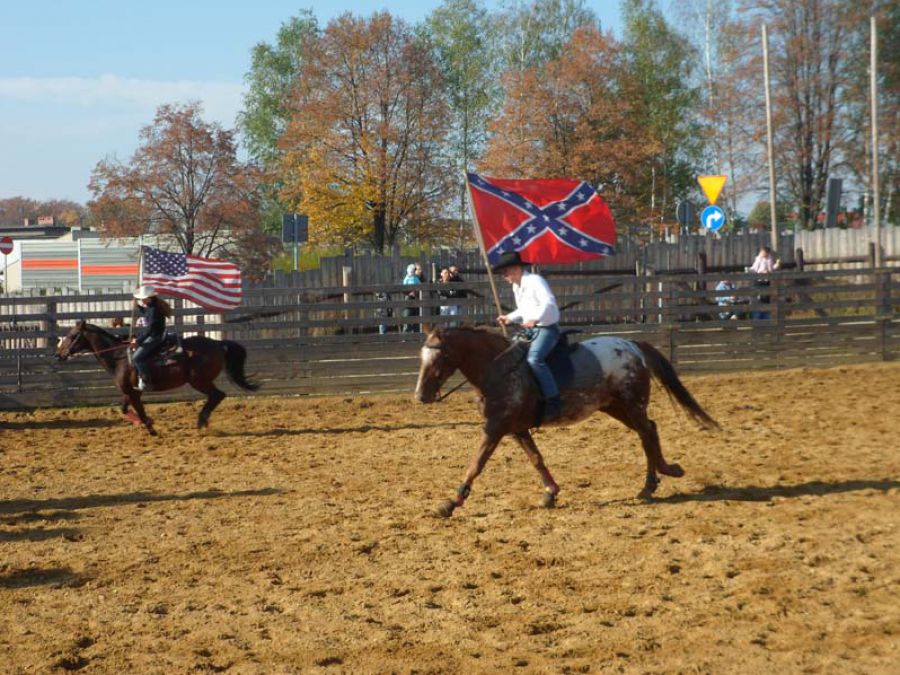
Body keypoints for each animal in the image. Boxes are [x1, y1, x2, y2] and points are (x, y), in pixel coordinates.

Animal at [56, 320, 259, 435]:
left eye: (72, 336)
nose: (59, 355)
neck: (118, 357)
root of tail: (217, 343)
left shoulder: (135, 394)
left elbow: (140, 411)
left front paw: (151, 427)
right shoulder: (129, 392)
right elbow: (124, 409)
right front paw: (143, 423)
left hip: (199, 381)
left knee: (218, 395)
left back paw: (201, 421)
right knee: (216, 396)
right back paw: (203, 420)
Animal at [415, 326, 719, 517]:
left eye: (440, 356)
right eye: (422, 356)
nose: (421, 395)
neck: (498, 370)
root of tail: (633, 345)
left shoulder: (495, 428)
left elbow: (476, 464)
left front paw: (452, 503)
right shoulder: (516, 429)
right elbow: (536, 459)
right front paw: (550, 492)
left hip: (632, 405)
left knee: (647, 434)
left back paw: (654, 481)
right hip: (616, 407)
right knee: (650, 431)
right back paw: (658, 478)